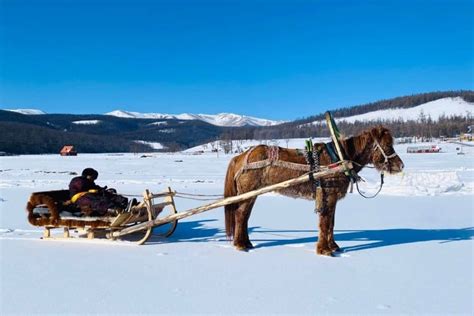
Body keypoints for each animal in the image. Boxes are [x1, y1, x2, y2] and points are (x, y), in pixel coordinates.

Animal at [222, 124, 404, 256]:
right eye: (387, 145)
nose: (401, 165)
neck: (340, 158)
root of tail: (240, 156)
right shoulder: (328, 196)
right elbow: (325, 223)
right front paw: (324, 250)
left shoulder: (332, 198)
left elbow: (331, 223)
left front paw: (333, 246)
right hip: (248, 194)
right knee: (241, 215)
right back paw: (240, 244)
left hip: (252, 194)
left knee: (244, 217)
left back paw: (246, 242)